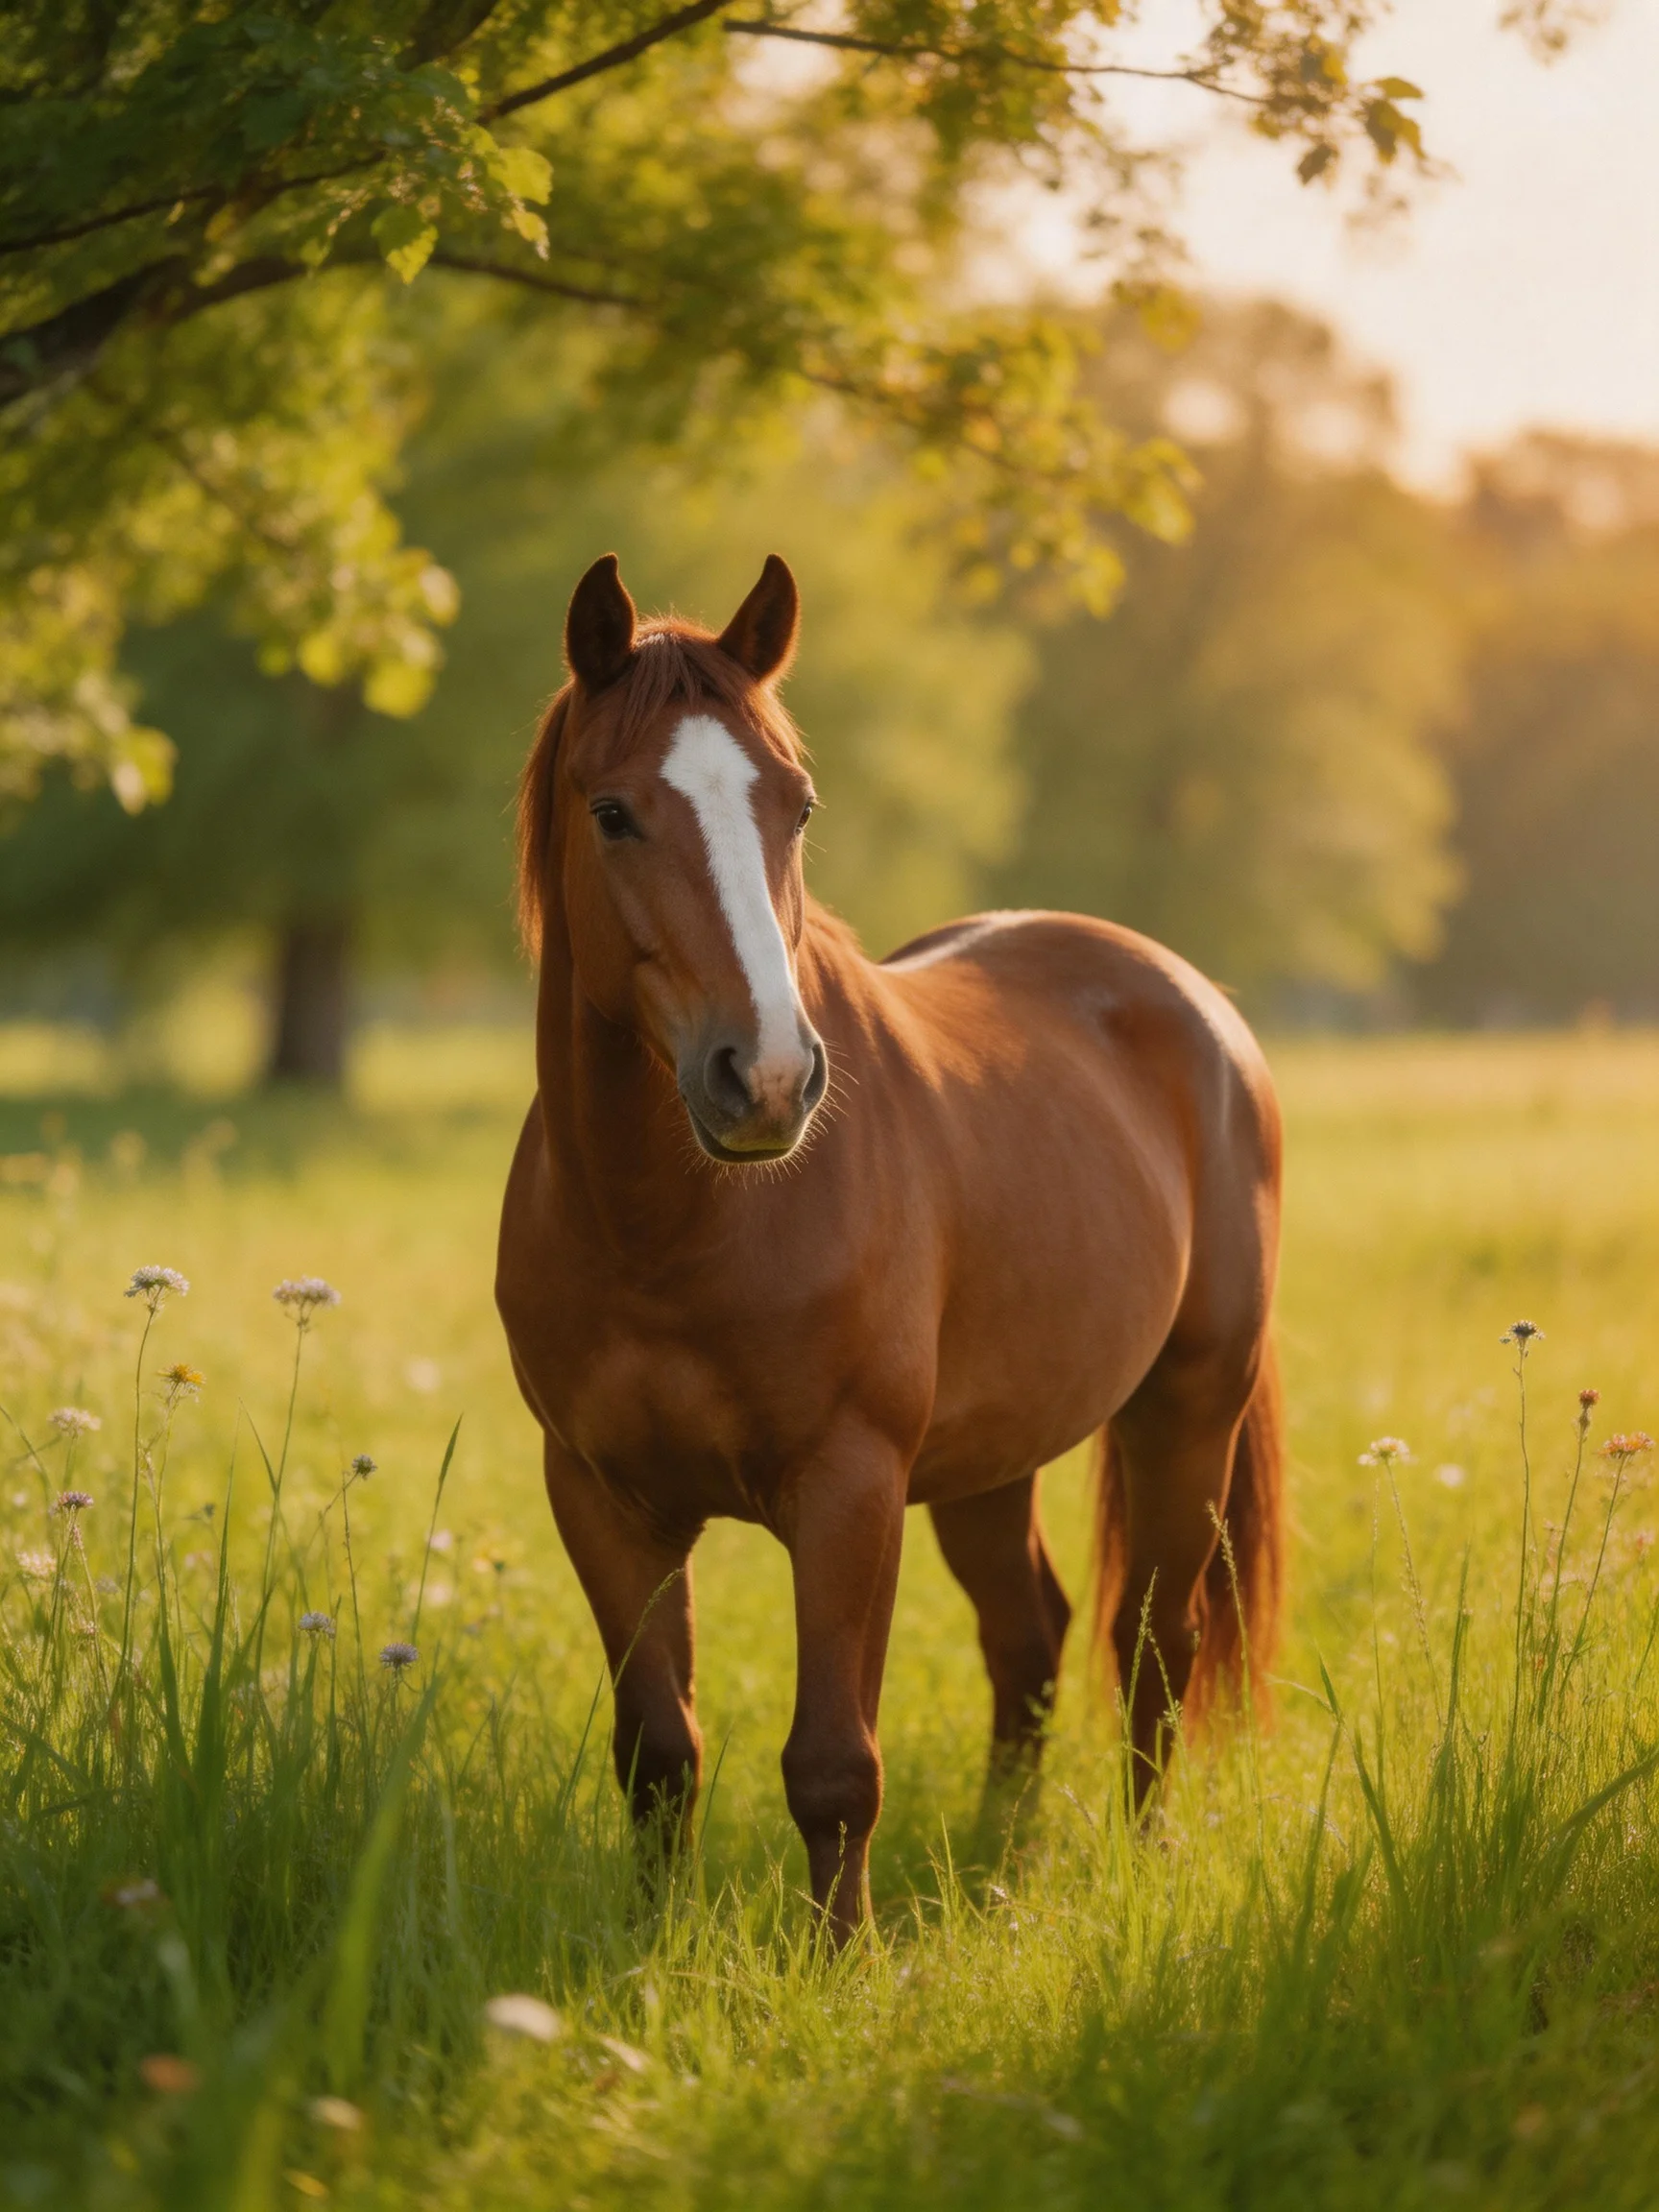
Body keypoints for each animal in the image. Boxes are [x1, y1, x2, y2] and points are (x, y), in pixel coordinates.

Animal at [496, 550, 1284, 1938]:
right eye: (613, 812)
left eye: (796, 806)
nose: (765, 1079)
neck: (667, 1233)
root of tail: (1197, 1006)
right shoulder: (600, 1496)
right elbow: (658, 1753)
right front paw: (649, 1947)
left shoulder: (847, 1488)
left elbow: (832, 1763)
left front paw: (840, 1956)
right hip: (987, 1459)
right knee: (1030, 1635)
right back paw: (1001, 1852)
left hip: (1188, 1409)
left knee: (1154, 1641)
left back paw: (1143, 1859)